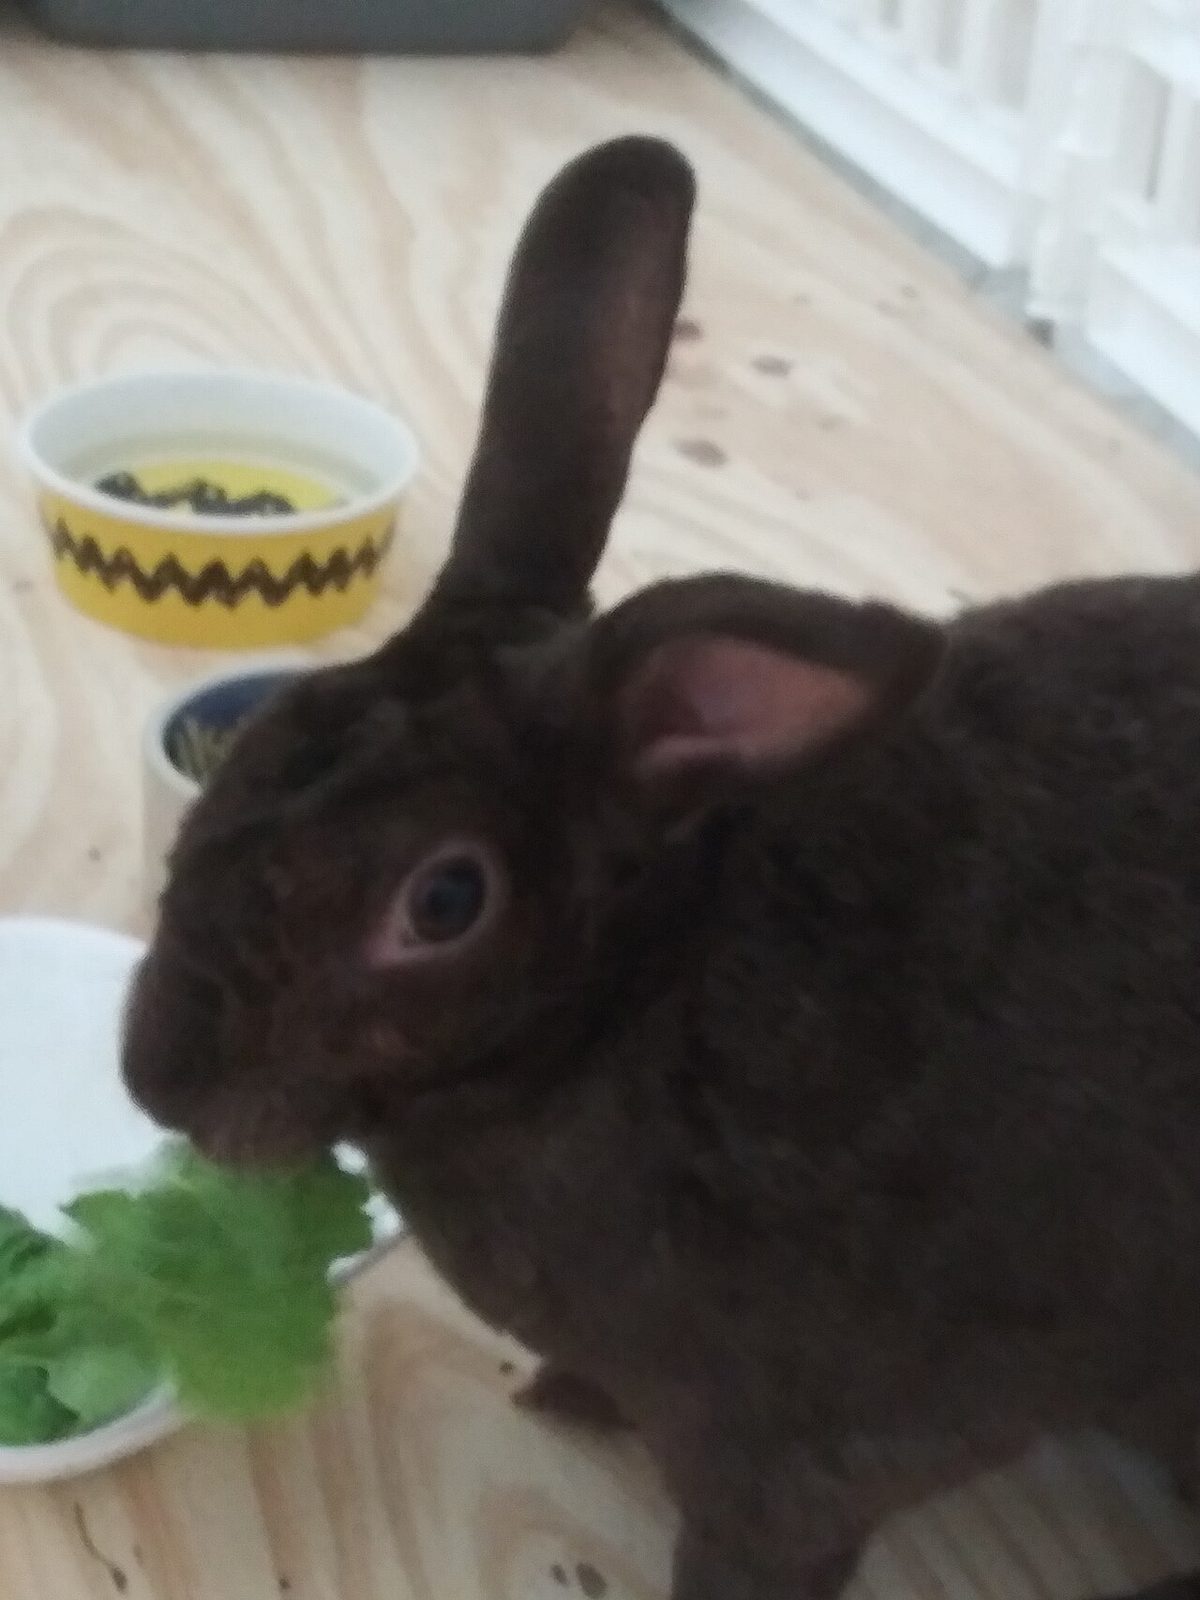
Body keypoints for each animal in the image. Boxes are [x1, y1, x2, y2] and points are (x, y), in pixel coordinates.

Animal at [123, 134, 1200, 1600]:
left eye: (444, 900)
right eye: (268, 732)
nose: (156, 1077)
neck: (630, 1000)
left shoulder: (805, 1461)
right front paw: (569, 1396)